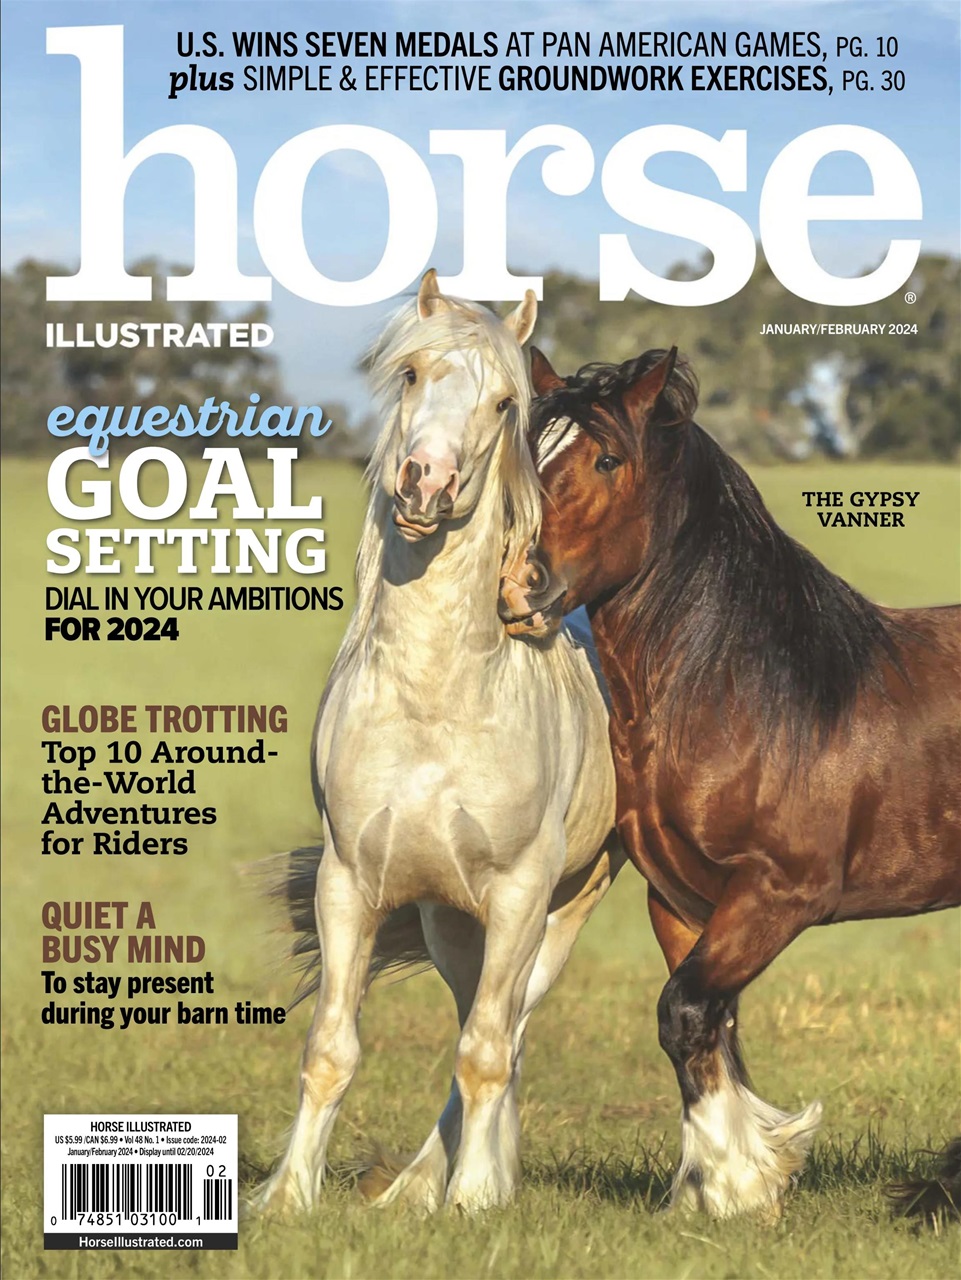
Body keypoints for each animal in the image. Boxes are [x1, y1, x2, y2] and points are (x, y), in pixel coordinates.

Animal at [253, 273, 620, 1217]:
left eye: (503, 403)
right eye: (412, 374)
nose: (426, 483)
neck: (433, 703)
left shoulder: (523, 894)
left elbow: (487, 1052)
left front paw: (473, 1201)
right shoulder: (348, 883)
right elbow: (330, 1050)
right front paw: (289, 1197)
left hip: (555, 916)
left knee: (505, 1032)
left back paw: (469, 1182)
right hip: (453, 923)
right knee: (482, 1025)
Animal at [498, 345, 961, 1220]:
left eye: (607, 459)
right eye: (525, 458)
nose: (515, 588)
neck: (741, 692)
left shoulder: (777, 894)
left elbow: (684, 1012)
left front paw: (740, 1182)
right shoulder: (681, 899)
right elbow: (705, 1029)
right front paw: (726, 1185)